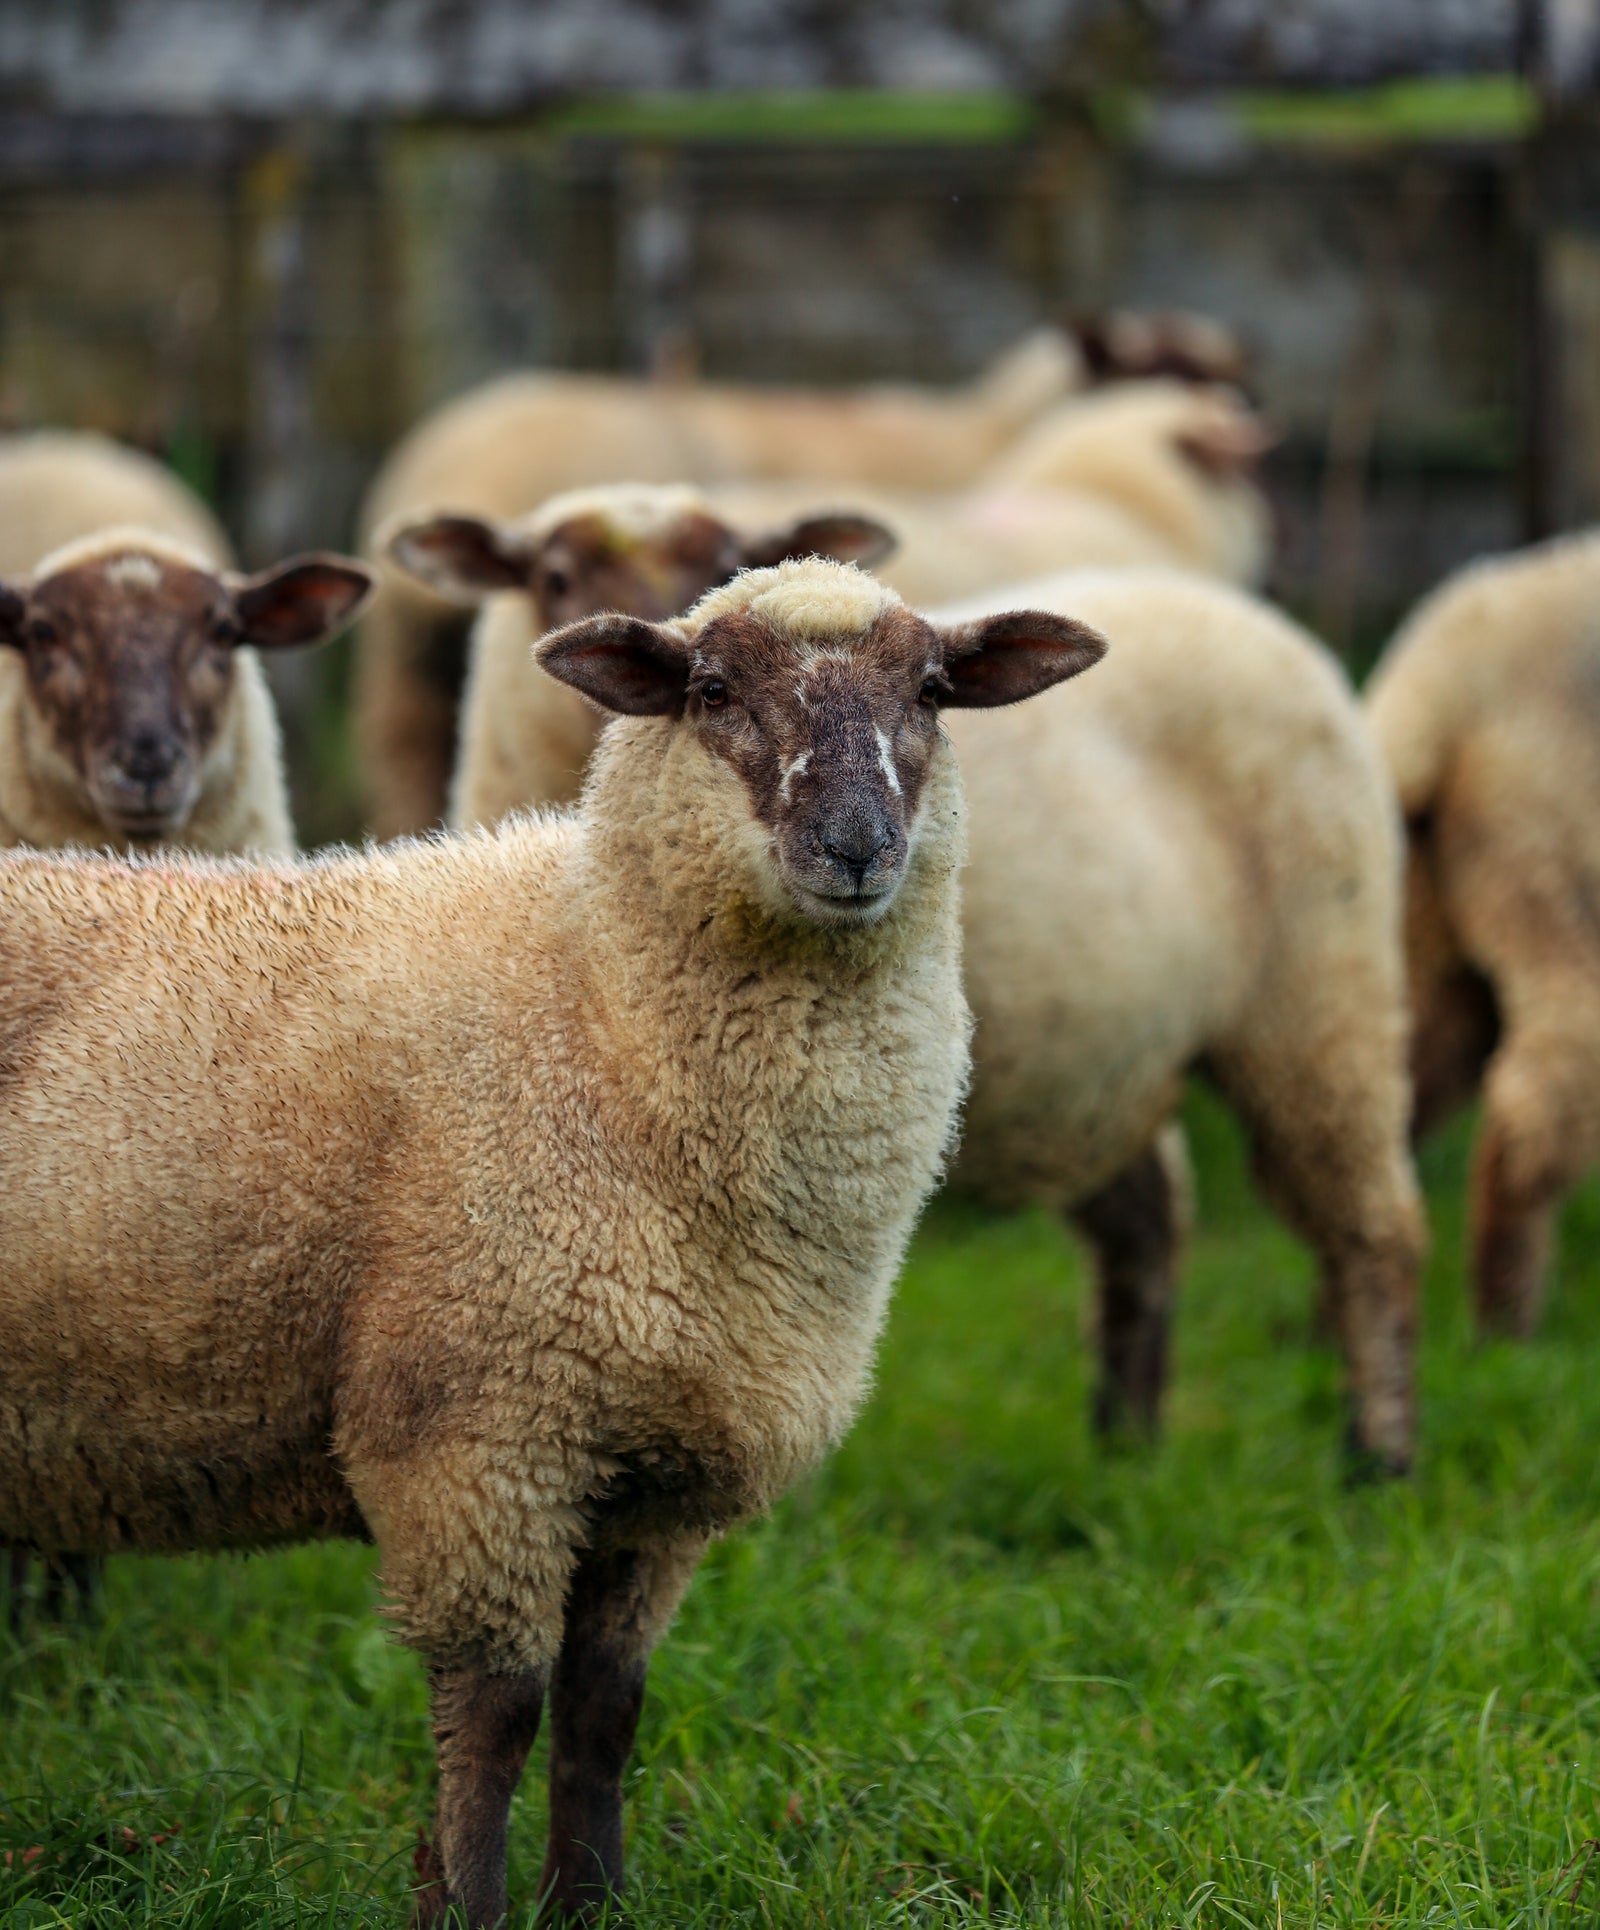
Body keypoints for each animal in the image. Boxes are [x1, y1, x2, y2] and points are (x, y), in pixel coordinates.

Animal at [0, 557, 1104, 1926]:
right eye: (711, 690)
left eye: (935, 691)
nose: (855, 846)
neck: (597, 1000)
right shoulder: (475, 1436)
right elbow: (498, 1715)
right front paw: (469, 1907)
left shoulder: (656, 1471)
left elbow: (602, 1709)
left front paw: (591, 1904)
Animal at [932, 567, 1422, 1469]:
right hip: (1094, 1059)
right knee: (1150, 1223)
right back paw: (1126, 1448)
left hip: (1319, 986)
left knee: (1372, 1223)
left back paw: (1378, 1459)